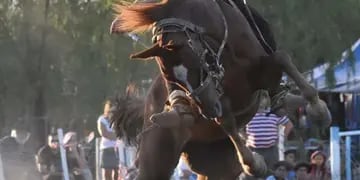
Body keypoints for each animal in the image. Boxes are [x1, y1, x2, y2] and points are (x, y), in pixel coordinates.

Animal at [110, 0, 332, 179]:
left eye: (195, 65)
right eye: (170, 77)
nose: (207, 110)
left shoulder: (260, 70)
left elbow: (281, 58)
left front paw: (319, 111)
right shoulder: (221, 97)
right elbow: (226, 121)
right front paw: (254, 164)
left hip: (216, 165)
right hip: (155, 158)